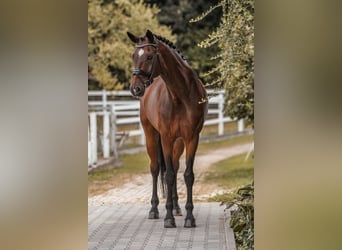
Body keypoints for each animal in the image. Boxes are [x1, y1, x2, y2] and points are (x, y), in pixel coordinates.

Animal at [125, 29, 206, 229]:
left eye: (149, 56)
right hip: (151, 136)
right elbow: (167, 175)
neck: (181, 96)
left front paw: (189, 217)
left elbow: (187, 175)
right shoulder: (166, 138)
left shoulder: (192, 138)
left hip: (178, 143)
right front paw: (168, 218)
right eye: (133, 56)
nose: (135, 89)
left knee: (175, 167)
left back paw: (176, 207)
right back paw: (154, 210)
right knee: (155, 169)